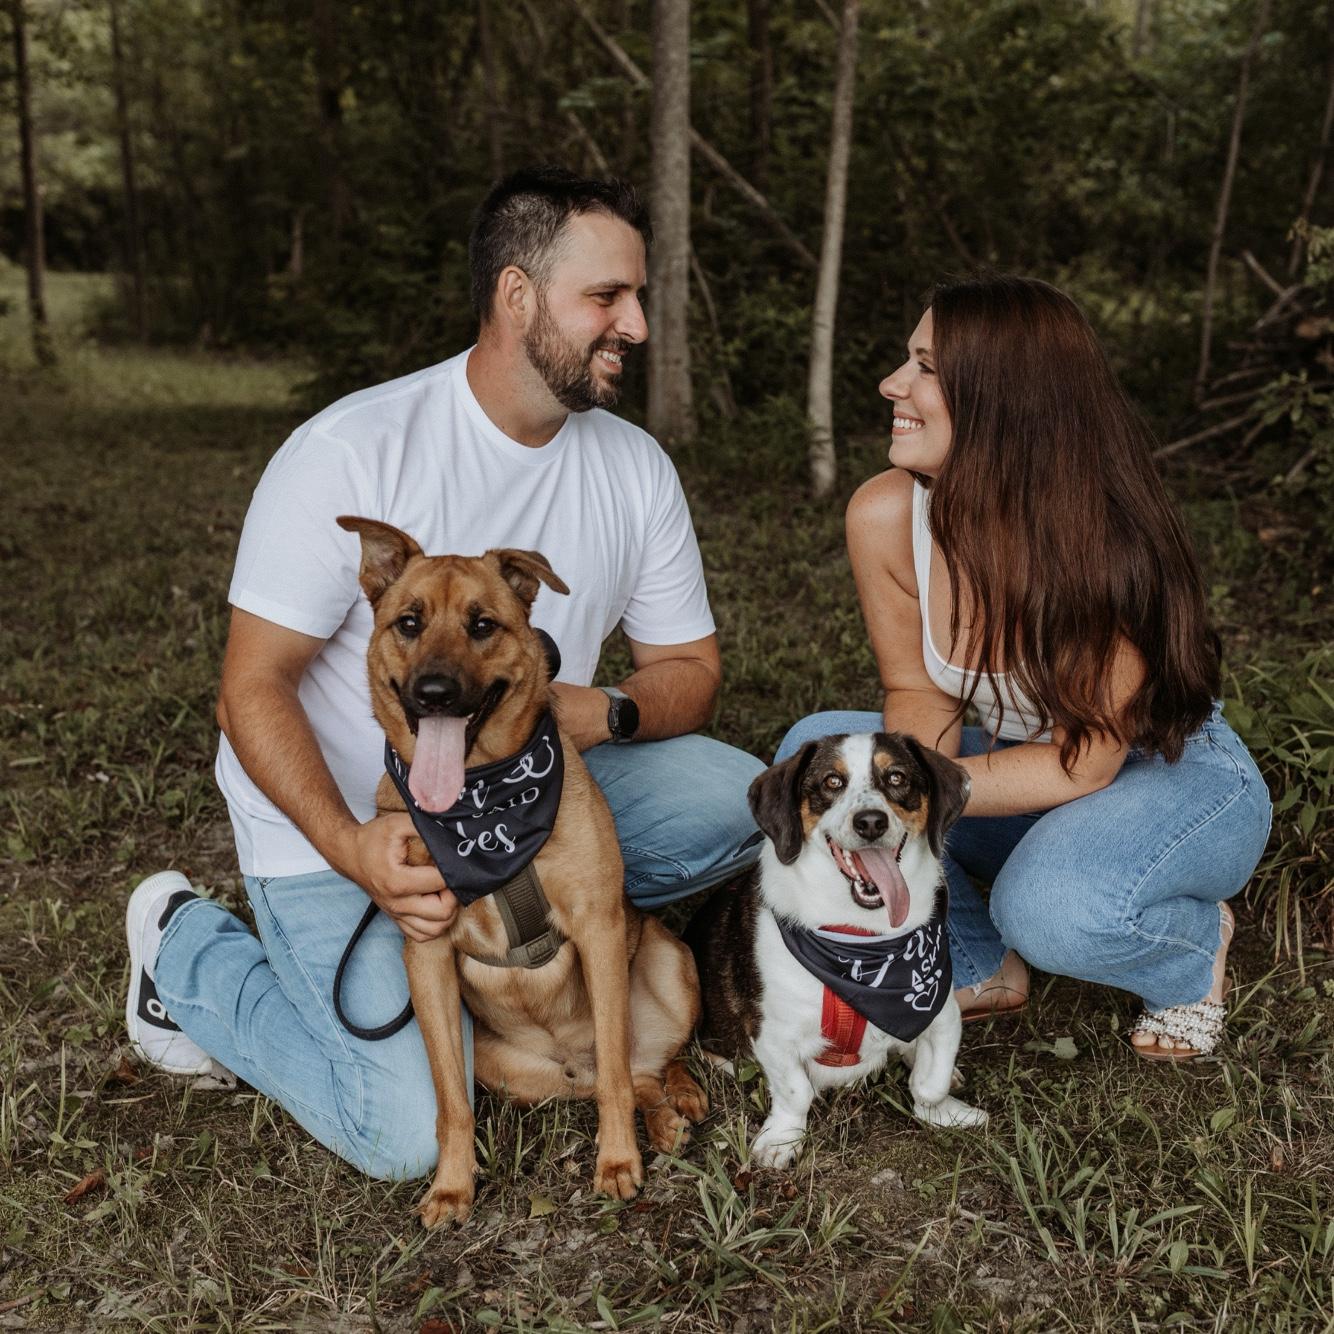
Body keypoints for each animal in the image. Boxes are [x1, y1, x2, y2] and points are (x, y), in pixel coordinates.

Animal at [337, 516, 707, 1227]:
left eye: (483, 625)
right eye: (408, 623)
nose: (434, 693)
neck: (483, 808)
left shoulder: (598, 929)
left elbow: (617, 1077)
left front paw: (616, 1162)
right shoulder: (425, 952)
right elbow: (450, 1103)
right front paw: (452, 1188)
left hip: (670, 965)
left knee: (639, 1065)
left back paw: (676, 1104)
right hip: (505, 1067)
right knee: (625, 1078)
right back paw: (663, 1117)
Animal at [686, 732, 987, 1169]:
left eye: (896, 777)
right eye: (831, 782)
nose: (871, 822)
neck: (860, 943)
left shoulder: (942, 1010)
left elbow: (931, 1082)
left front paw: (941, 1109)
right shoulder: (772, 1034)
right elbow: (796, 1092)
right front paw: (783, 1139)